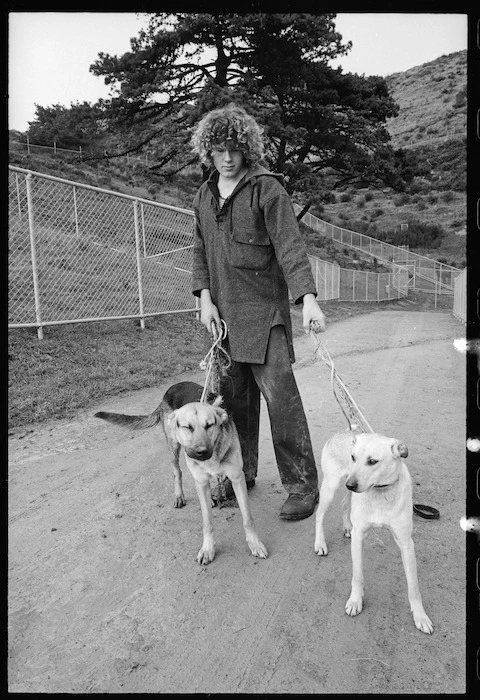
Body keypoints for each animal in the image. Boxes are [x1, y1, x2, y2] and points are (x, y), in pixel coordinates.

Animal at [314, 432, 434, 636]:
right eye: (353, 457)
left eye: (372, 461)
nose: (350, 484)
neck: (381, 491)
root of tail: (339, 433)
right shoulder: (359, 537)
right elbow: (358, 576)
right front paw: (356, 601)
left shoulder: (406, 544)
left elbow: (413, 587)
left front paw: (420, 616)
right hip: (330, 488)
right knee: (319, 515)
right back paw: (320, 544)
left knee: (345, 503)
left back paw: (347, 526)